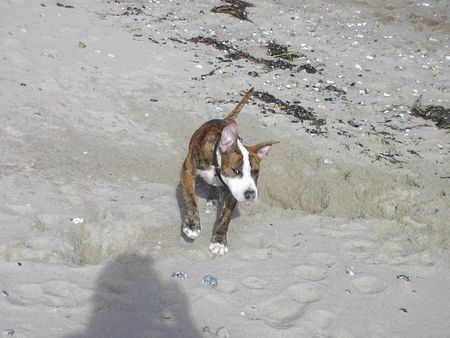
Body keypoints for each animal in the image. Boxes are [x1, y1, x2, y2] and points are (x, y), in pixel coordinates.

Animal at [179, 88, 278, 255]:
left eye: (255, 171)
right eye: (236, 170)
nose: (250, 194)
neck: (216, 164)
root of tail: (223, 120)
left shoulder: (232, 192)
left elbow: (226, 216)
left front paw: (219, 241)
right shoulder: (187, 170)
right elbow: (190, 198)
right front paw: (192, 225)